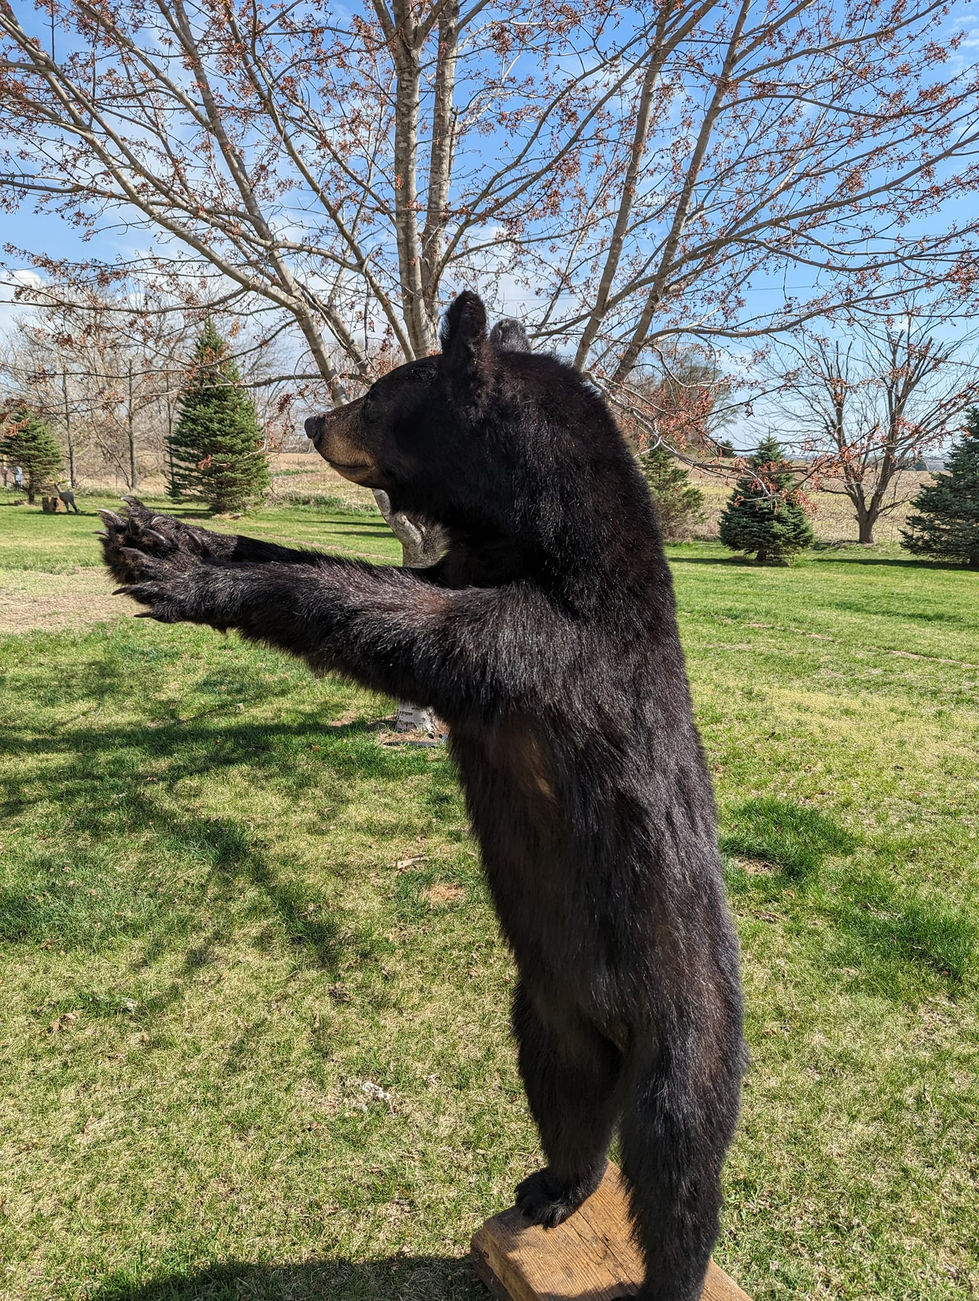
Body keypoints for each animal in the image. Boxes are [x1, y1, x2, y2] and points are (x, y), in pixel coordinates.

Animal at [99, 292, 745, 1301]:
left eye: (379, 393)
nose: (312, 421)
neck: (540, 539)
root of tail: (613, 1028)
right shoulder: (469, 569)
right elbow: (357, 574)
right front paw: (162, 534)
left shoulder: (557, 640)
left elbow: (394, 620)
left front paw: (180, 574)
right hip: (543, 1014)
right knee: (566, 1103)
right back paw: (552, 1186)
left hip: (690, 1035)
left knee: (679, 1166)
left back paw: (663, 1271)